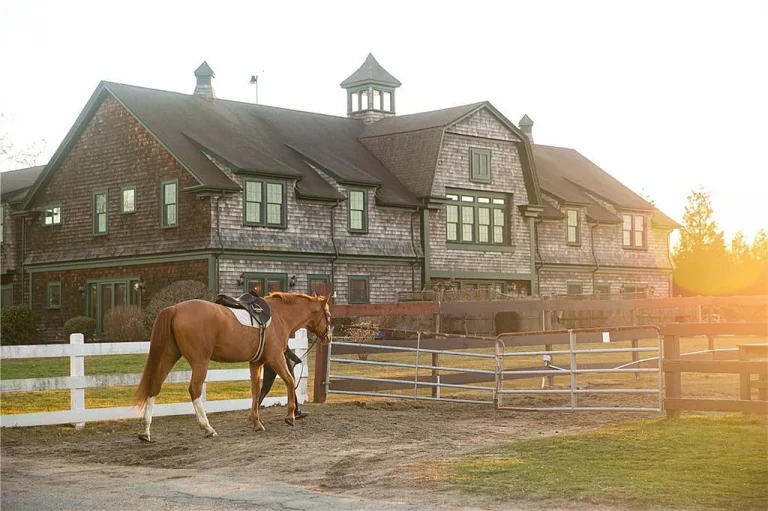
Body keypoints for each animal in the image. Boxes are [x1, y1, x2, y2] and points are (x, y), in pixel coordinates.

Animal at [133, 294, 330, 442]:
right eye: (328, 314)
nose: (328, 336)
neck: (279, 316)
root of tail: (174, 309)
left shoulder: (256, 363)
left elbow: (256, 391)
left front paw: (256, 422)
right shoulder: (275, 358)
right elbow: (289, 380)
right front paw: (290, 416)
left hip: (169, 355)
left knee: (155, 386)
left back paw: (145, 431)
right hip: (200, 361)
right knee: (194, 389)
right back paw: (207, 427)